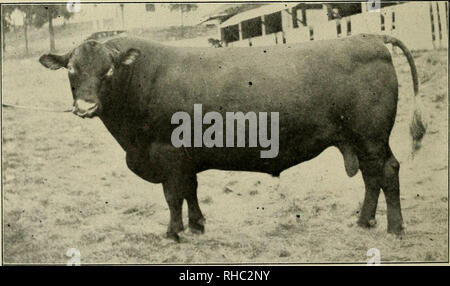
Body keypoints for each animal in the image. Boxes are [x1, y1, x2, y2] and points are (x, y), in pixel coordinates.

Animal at [38, 34, 426, 241]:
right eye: (71, 70)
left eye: (108, 71)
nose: (85, 106)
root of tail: (369, 38)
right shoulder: (186, 158)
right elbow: (190, 190)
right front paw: (197, 225)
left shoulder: (168, 153)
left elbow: (172, 196)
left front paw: (173, 232)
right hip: (359, 140)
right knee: (371, 176)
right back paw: (364, 220)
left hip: (371, 136)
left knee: (387, 171)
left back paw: (394, 228)